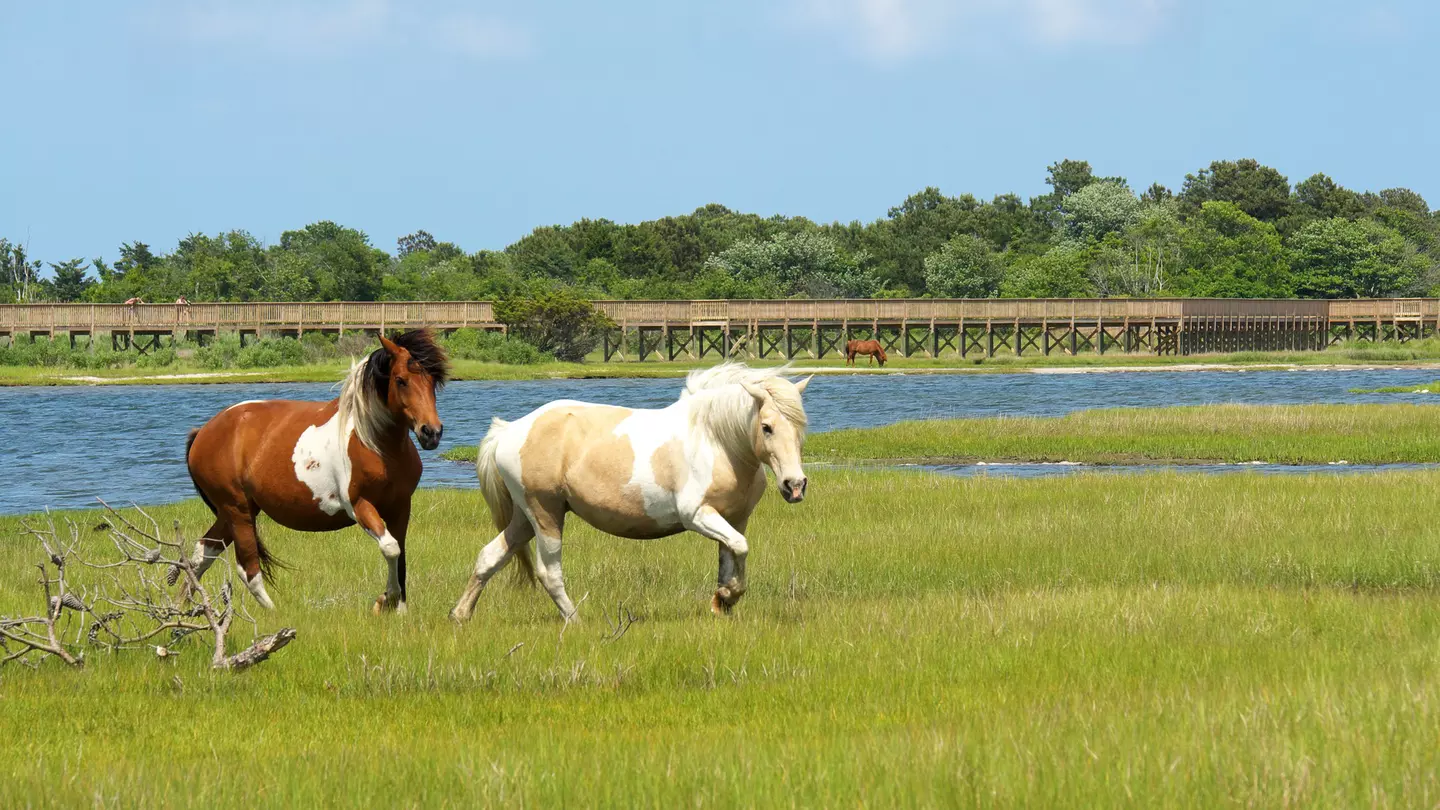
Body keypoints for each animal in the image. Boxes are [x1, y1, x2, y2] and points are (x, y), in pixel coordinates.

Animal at [179, 329, 449, 614]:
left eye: (433, 380)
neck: (373, 443)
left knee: (203, 552)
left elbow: (401, 554)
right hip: (237, 510)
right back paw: (274, 612)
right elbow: (390, 548)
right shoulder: (360, 506)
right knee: (247, 568)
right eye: (400, 380)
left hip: (236, 511)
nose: (431, 432)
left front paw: (398, 609)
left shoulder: (400, 506)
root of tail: (203, 432)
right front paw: (387, 598)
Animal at [449, 362, 812, 623]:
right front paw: (727, 597)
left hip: (525, 518)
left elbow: (731, 554)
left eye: (801, 426)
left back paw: (460, 615)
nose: (794, 485)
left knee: (489, 557)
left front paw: (722, 600)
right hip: (545, 515)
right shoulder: (698, 516)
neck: (716, 441)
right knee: (548, 572)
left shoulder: (734, 518)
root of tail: (510, 430)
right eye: (766, 427)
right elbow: (740, 547)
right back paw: (575, 620)